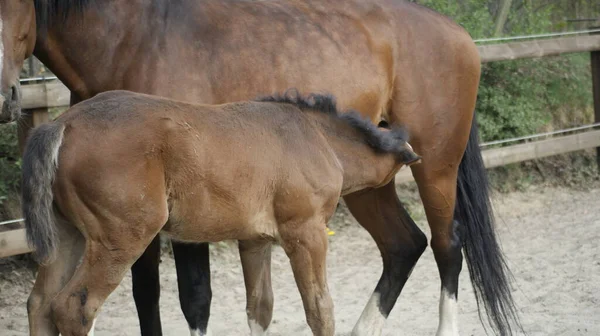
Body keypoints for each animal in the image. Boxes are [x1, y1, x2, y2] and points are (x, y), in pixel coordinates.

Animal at [24, 90, 422, 334]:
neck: (317, 138)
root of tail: (63, 123)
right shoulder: (305, 234)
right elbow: (319, 310)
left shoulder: (255, 241)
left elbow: (260, 308)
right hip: (121, 239)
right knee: (74, 308)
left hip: (68, 236)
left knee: (40, 304)